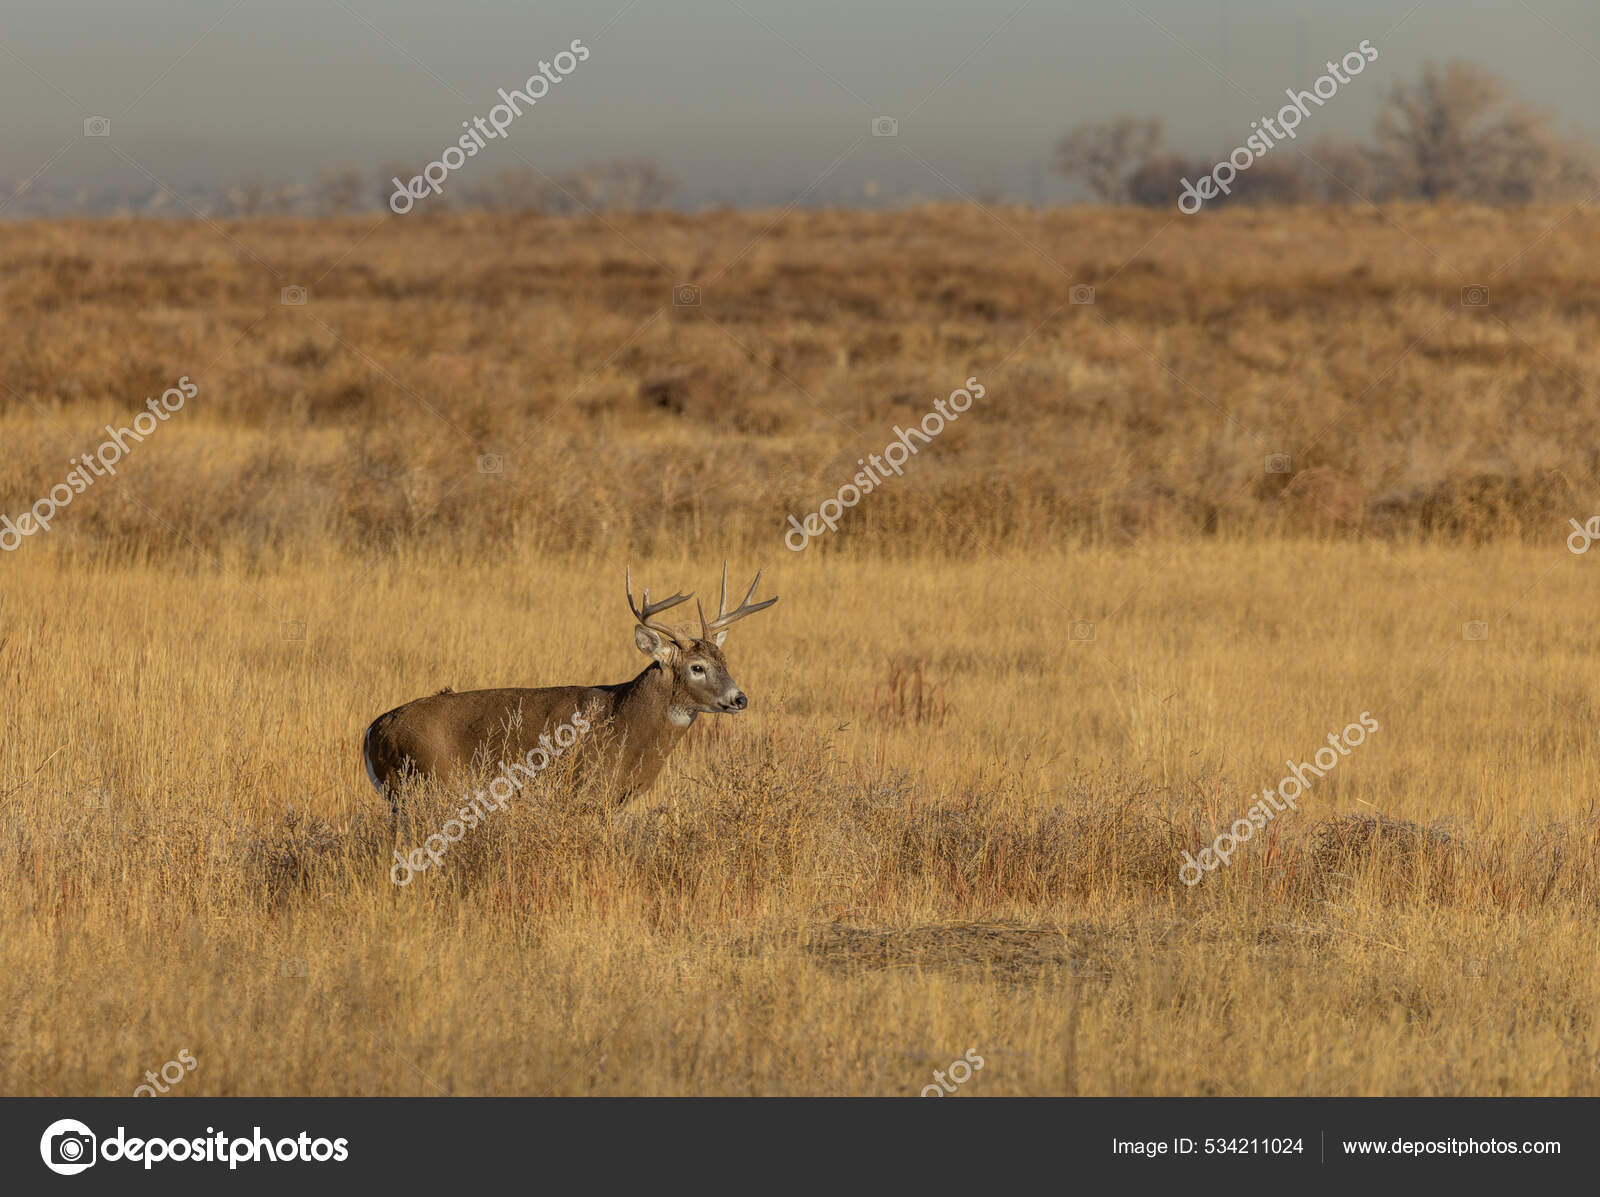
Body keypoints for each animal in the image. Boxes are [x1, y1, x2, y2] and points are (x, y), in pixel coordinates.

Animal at [362, 565, 777, 810]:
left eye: (725, 662)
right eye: (697, 667)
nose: (739, 698)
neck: (624, 723)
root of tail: (372, 732)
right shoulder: (582, 791)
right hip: (423, 784)